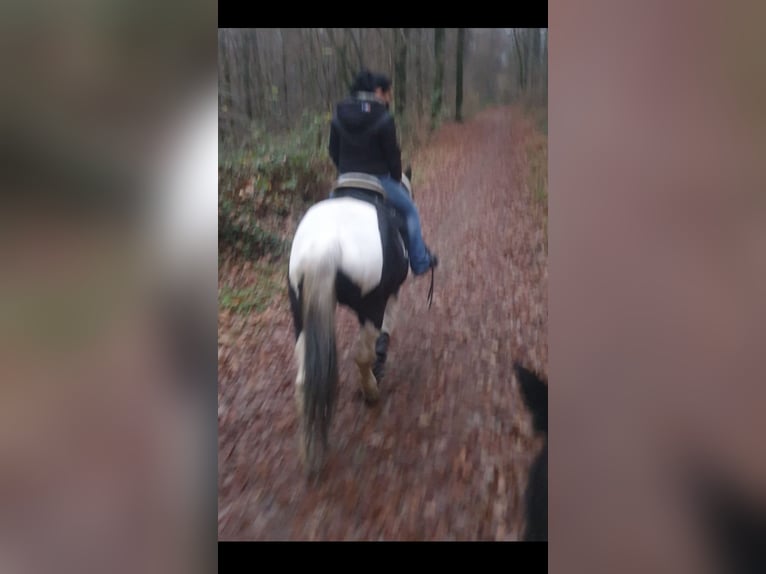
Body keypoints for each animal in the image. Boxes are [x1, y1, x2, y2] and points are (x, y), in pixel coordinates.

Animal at [288, 168, 416, 476]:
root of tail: (325, 247)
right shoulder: (389, 296)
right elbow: (386, 328)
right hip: (370, 306)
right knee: (362, 355)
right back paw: (371, 391)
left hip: (300, 314)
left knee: (304, 380)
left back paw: (311, 454)